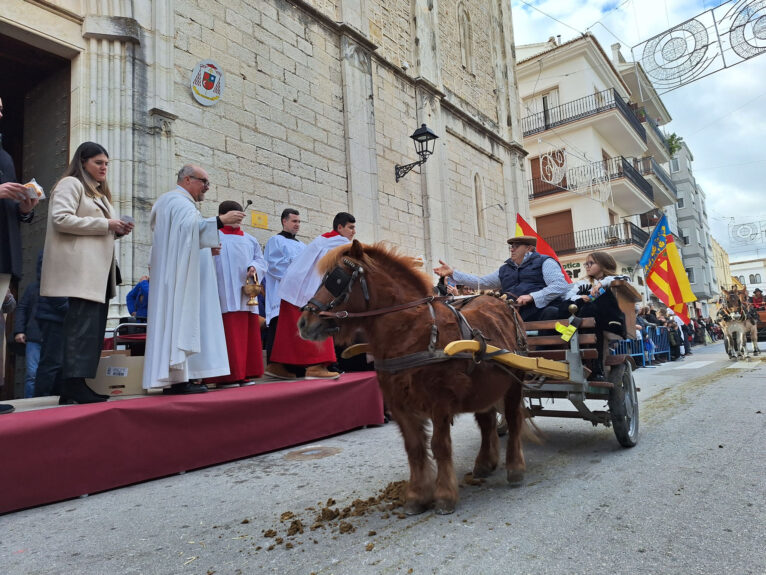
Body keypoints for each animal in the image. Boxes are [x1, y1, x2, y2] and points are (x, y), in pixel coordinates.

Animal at [298, 241, 528, 516]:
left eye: (336, 279)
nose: (304, 322)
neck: (412, 331)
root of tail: (502, 300)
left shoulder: (439, 402)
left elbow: (439, 446)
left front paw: (444, 496)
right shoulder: (398, 404)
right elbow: (414, 448)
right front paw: (418, 496)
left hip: (513, 383)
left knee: (513, 420)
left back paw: (515, 468)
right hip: (484, 386)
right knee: (486, 423)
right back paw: (485, 463)